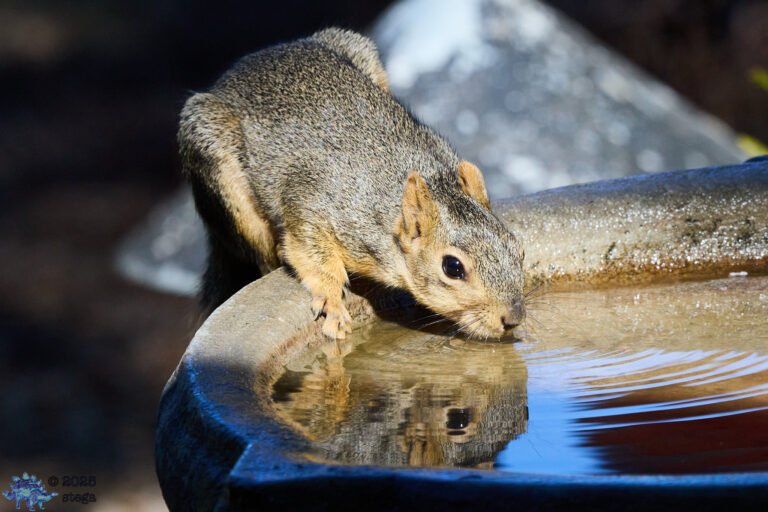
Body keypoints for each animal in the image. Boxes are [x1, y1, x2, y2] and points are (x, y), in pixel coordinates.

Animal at [178, 28, 526, 340]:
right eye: (452, 267)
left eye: (518, 248)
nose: (512, 318)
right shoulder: (311, 205)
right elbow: (312, 255)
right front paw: (332, 302)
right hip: (217, 163)